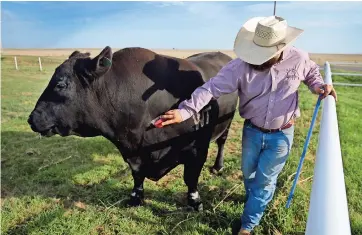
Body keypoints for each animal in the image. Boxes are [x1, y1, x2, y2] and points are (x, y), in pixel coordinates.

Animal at [27, 46, 238, 211]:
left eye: (61, 84)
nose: (31, 119)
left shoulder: (197, 147)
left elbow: (191, 177)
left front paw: (194, 202)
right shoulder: (131, 151)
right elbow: (137, 174)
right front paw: (135, 197)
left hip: (226, 124)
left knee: (221, 141)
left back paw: (218, 166)